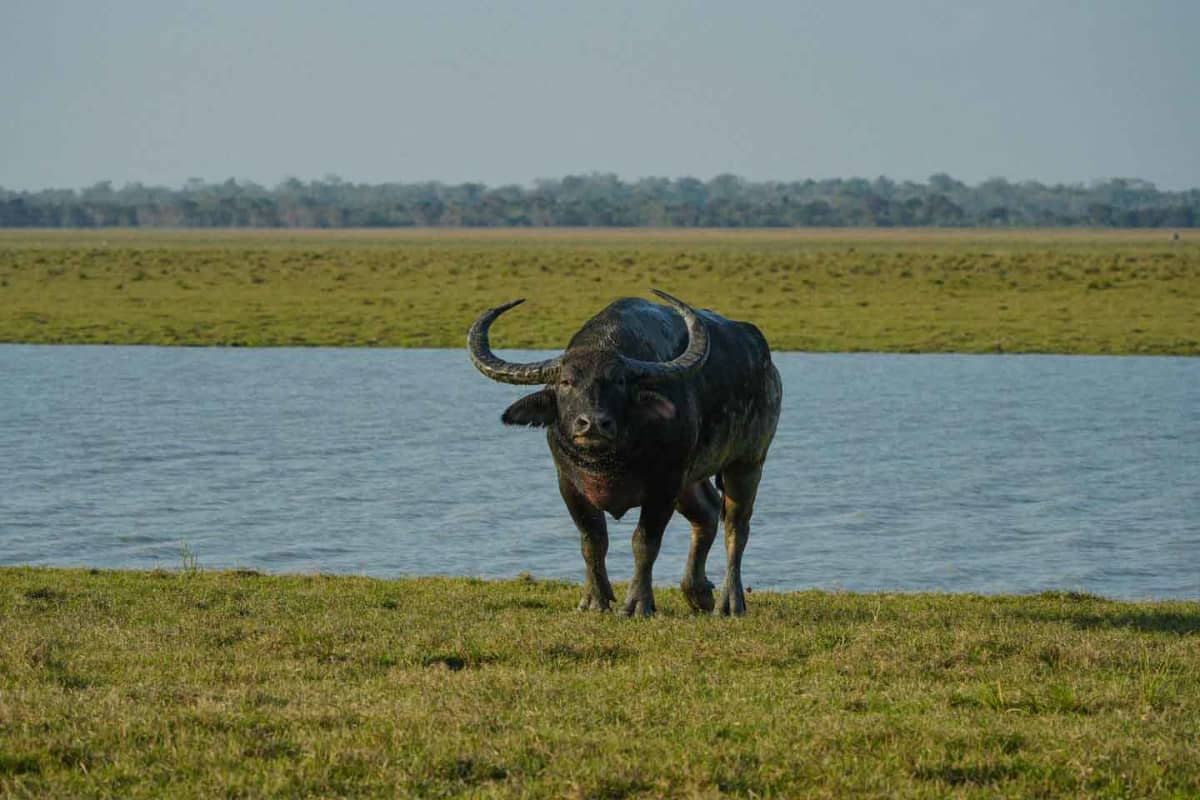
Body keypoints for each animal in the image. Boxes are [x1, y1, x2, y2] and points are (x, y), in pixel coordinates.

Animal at [467, 290, 781, 616]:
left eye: (618, 381)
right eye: (566, 382)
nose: (593, 423)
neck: (608, 461)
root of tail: (765, 361)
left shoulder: (664, 485)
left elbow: (644, 543)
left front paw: (638, 603)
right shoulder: (569, 485)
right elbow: (592, 541)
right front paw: (594, 600)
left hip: (747, 462)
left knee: (736, 526)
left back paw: (730, 601)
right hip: (691, 478)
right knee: (706, 512)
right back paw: (696, 592)